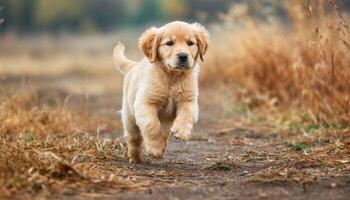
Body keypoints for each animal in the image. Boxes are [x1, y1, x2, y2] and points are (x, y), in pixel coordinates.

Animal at [113, 21, 209, 163]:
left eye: (190, 43)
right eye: (169, 43)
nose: (183, 56)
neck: (172, 76)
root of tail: (134, 65)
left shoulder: (189, 100)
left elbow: (186, 114)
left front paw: (181, 131)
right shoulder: (145, 102)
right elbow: (151, 125)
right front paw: (154, 148)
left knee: (164, 133)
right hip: (129, 117)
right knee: (133, 138)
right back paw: (135, 157)